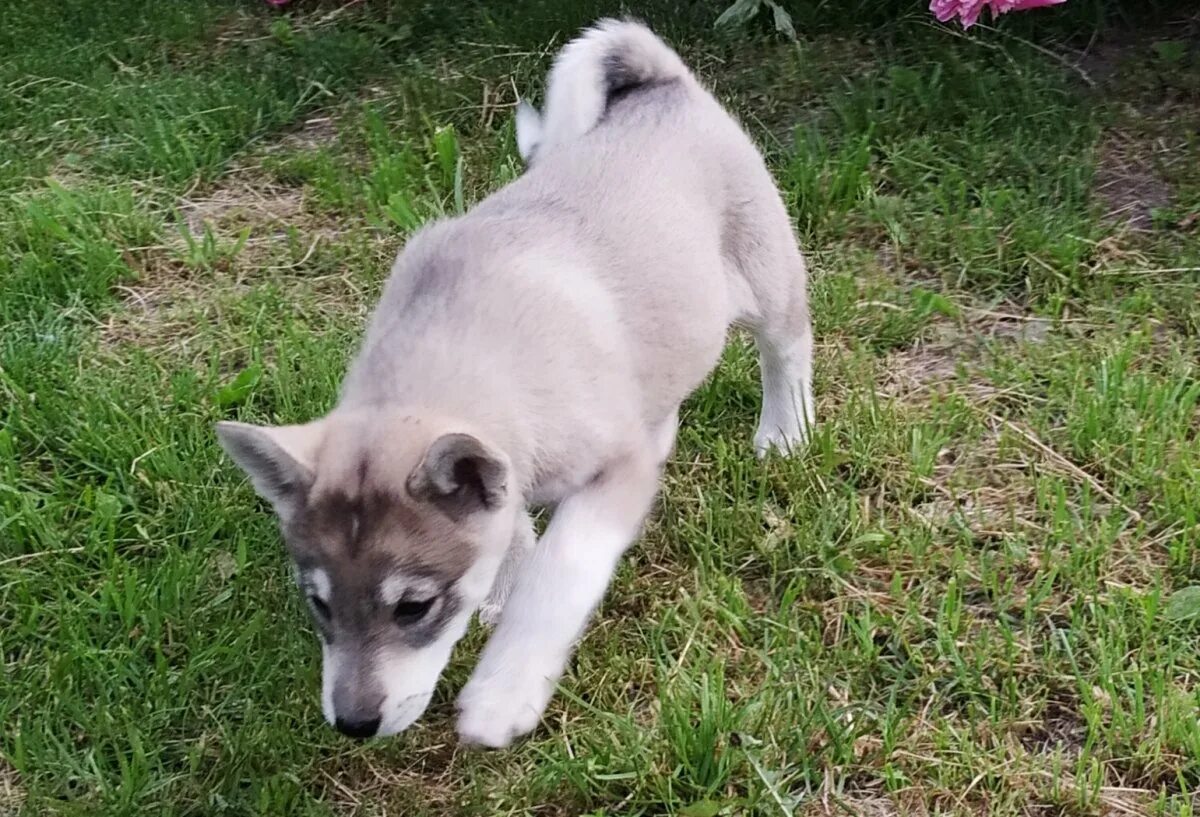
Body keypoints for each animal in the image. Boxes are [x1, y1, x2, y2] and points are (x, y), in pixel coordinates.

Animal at [216, 17, 816, 743]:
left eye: (414, 607)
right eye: (319, 604)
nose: (354, 724)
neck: (454, 343)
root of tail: (663, 84)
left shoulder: (609, 476)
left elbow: (559, 571)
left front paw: (503, 689)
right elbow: (513, 534)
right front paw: (505, 589)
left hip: (767, 279)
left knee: (787, 347)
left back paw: (786, 430)